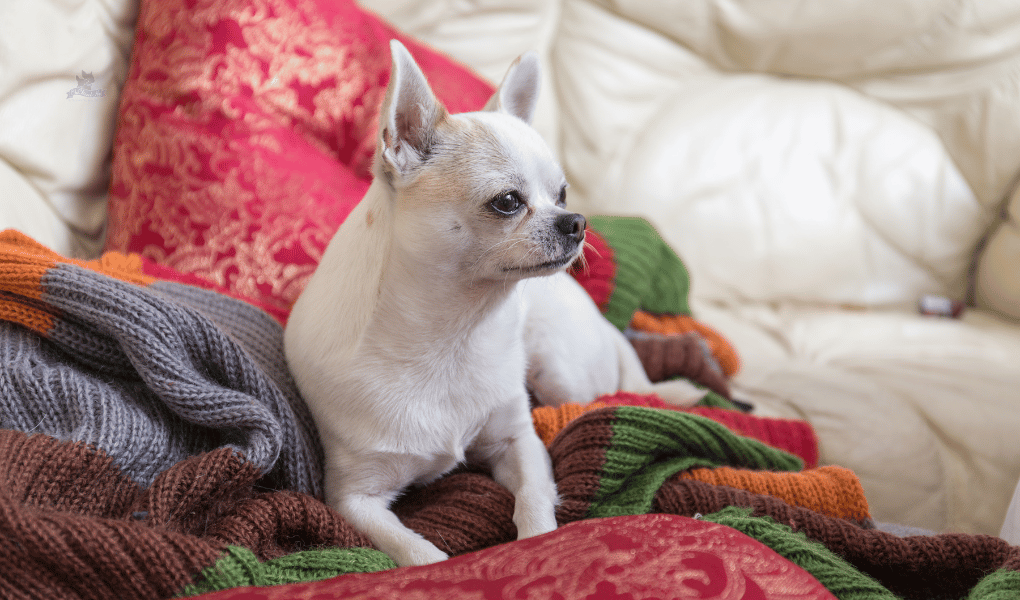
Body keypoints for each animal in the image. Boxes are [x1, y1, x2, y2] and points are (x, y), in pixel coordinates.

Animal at [283, 41, 705, 567]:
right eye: (507, 201)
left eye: (562, 193)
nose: (576, 220)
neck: (452, 334)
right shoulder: (353, 498)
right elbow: (416, 552)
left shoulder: (518, 442)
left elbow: (535, 499)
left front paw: (537, 544)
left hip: (560, 374)